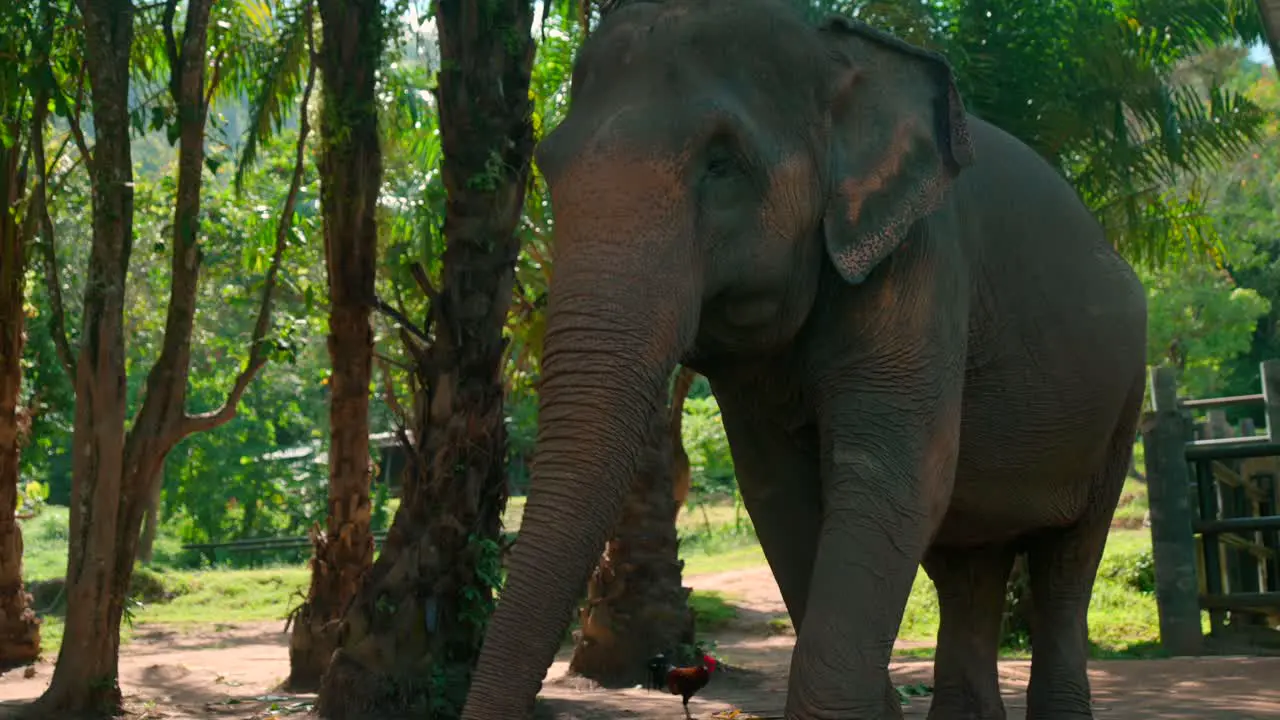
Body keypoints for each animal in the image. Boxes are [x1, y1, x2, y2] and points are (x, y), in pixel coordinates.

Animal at [463, 1, 1152, 717]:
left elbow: (894, 479)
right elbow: (779, 493)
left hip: (1125, 394)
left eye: (721, 164)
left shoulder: (922, 263)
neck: (833, 51)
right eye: (545, 166)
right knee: (969, 567)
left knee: (1067, 561)